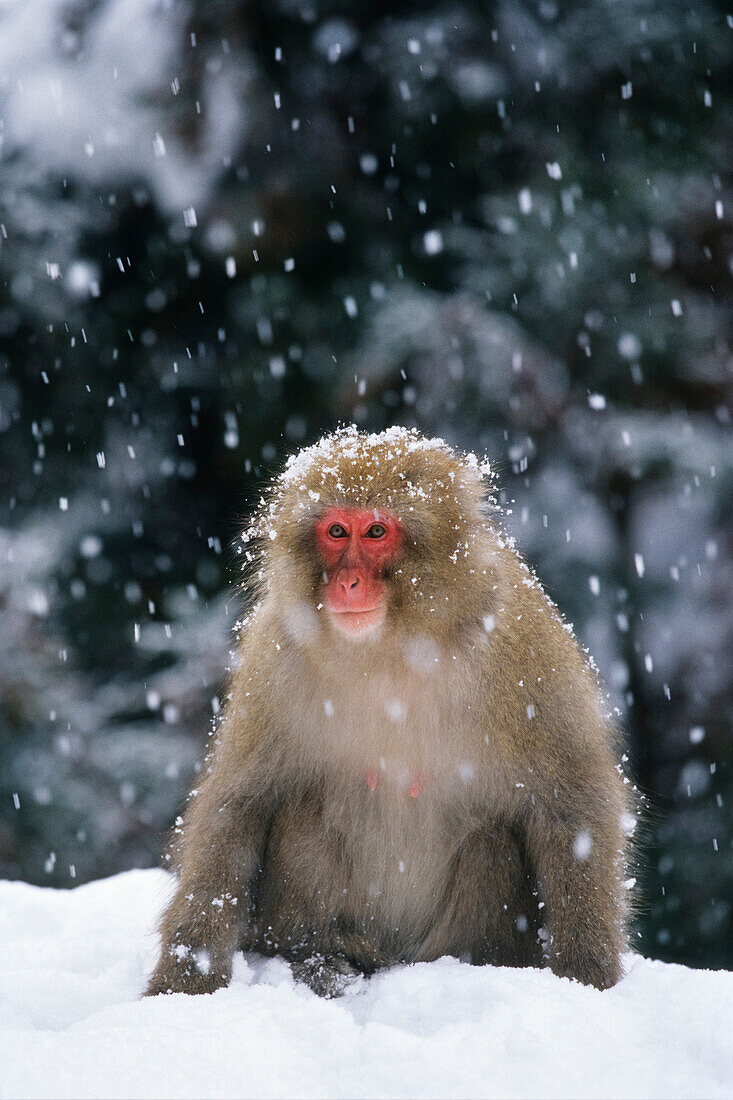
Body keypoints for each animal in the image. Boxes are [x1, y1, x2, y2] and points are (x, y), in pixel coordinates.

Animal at [144, 426, 629, 998]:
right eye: (336, 532)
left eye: (376, 532)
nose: (348, 582)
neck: (391, 650)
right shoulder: (274, 659)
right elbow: (238, 806)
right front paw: (184, 977)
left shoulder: (521, 647)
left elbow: (572, 805)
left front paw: (587, 974)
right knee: (301, 812)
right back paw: (325, 956)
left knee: (490, 841)